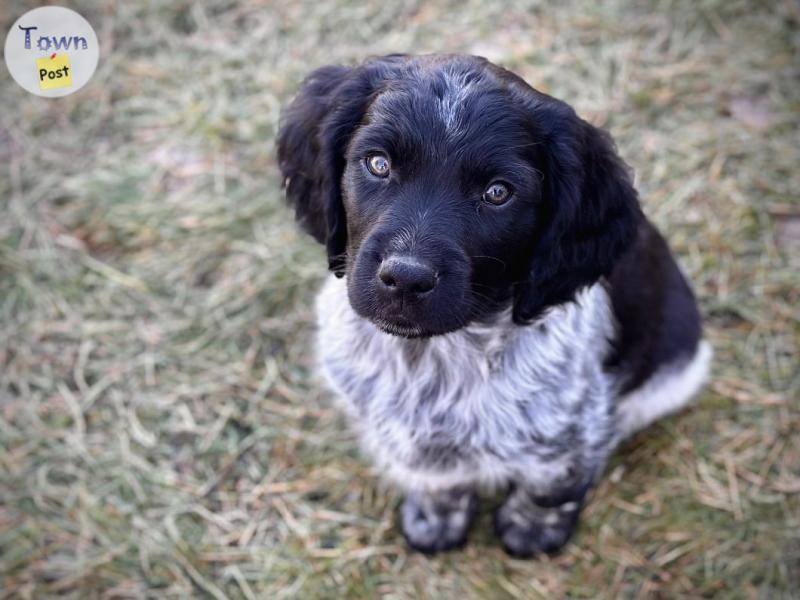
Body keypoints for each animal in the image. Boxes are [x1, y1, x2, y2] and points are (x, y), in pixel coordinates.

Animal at [276, 54, 712, 556]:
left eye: (498, 193)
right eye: (378, 164)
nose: (405, 277)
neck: (435, 356)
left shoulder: (572, 426)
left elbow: (552, 484)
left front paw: (533, 531)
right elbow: (436, 479)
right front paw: (435, 518)